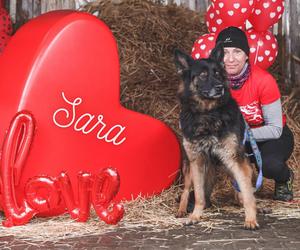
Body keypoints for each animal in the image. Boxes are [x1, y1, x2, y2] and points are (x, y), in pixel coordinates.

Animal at [175, 43, 258, 230]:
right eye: (203, 75)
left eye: (218, 73)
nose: (220, 87)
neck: (209, 113)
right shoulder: (197, 160)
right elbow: (199, 194)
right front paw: (195, 216)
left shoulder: (235, 158)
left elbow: (247, 192)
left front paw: (251, 219)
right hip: (190, 167)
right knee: (186, 190)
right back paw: (182, 210)